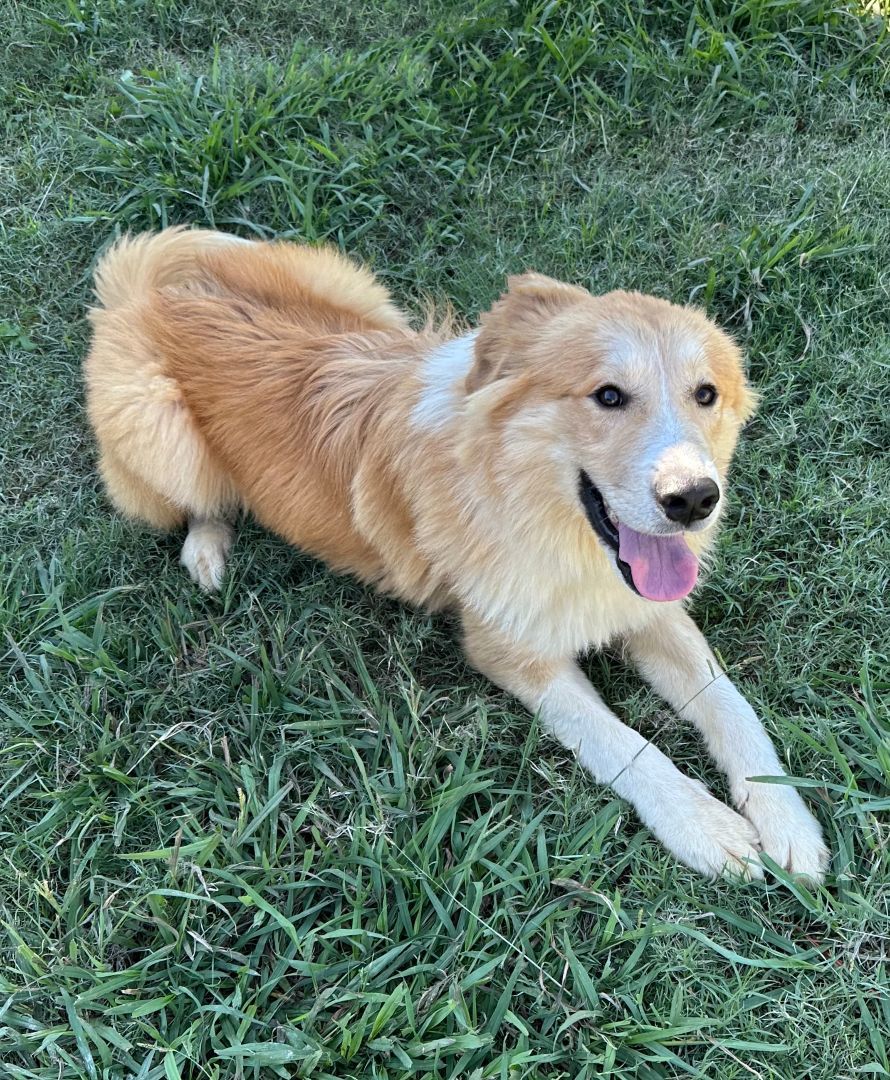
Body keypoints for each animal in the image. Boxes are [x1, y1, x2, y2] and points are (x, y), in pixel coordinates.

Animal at [83, 225, 829, 876]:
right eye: (609, 395)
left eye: (706, 394)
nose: (696, 499)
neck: (536, 511)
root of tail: (148, 285)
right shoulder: (508, 650)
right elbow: (621, 743)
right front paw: (705, 827)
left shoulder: (644, 608)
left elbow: (731, 705)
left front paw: (787, 817)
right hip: (161, 434)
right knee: (197, 499)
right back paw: (207, 550)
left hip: (365, 295)